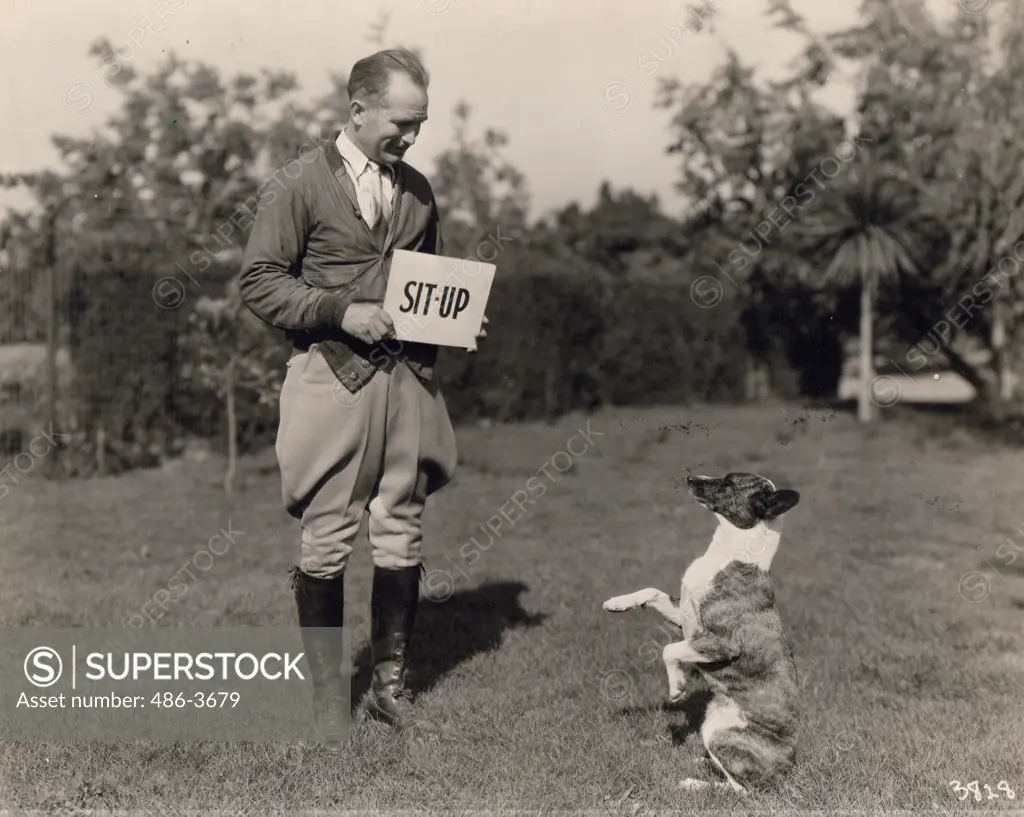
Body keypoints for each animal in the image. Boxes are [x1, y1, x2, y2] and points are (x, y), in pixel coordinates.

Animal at [602, 473, 802, 794]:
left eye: (728, 482)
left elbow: (669, 650)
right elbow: (652, 591)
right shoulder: (681, 615)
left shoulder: (721, 643)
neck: (729, 554)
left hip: (719, 733)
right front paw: (618, 602)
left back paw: (694, 783)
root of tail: (788, 767)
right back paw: (703, 763)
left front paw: (677, 686)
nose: (690, 477)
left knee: (740, 788)